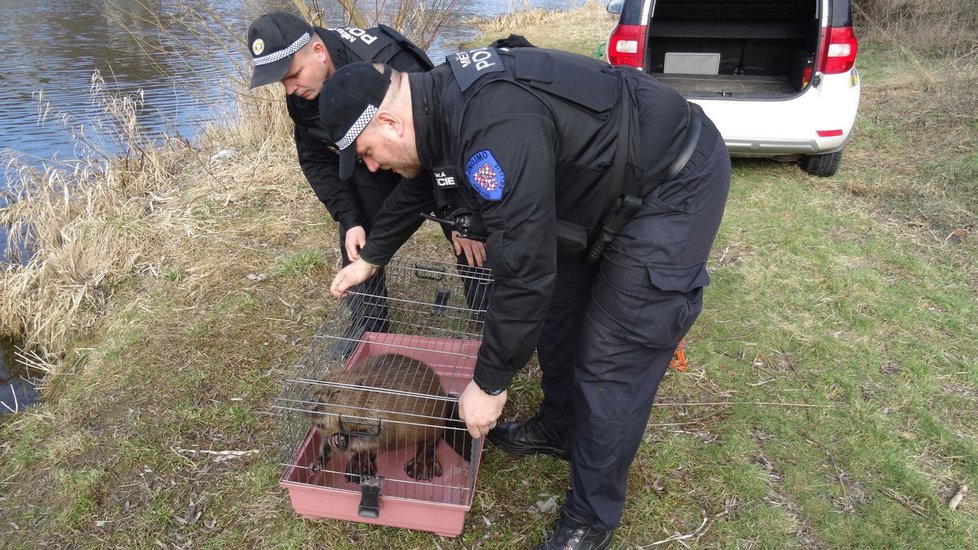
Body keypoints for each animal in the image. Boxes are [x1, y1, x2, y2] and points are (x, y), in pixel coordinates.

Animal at [306, 354, 452, 484]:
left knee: (431, 441)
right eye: (314, 388)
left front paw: (340, 438)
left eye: (336, 392)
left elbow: (378, 437)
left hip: (436, 420)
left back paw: (420, 468)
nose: (311, 401)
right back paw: (358, 471)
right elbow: (325, 442)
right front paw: (316, 464)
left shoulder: (379, 411)